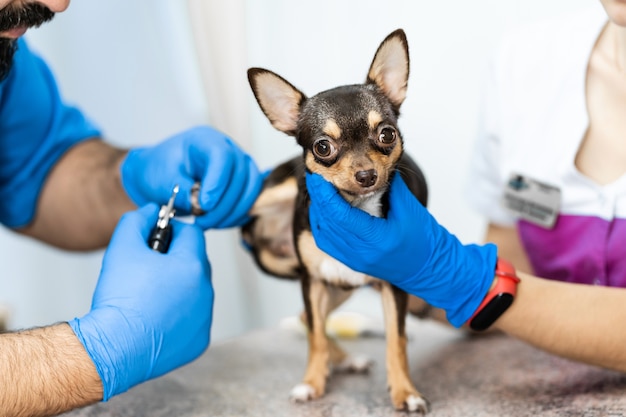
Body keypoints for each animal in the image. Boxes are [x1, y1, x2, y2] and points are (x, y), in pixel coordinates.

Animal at [243, 29, 428, 412]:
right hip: (282, 205)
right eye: (323, 147)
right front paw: (312, 383)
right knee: (309, 320)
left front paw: (405, 391)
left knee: (309, 319)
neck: (356, 213)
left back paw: (346, 360)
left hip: (343, 285)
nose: (366, 175)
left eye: (387, 134)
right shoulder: (311, 280)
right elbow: (315, 337)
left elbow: (396, 340)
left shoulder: (393, 286)